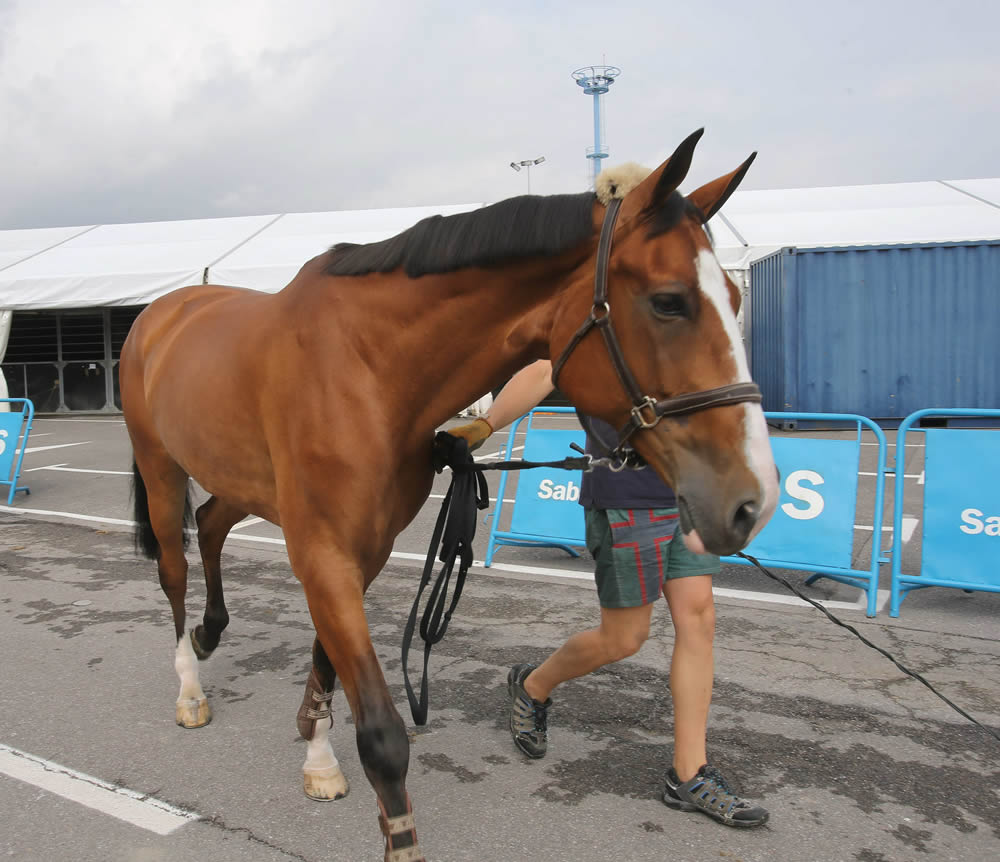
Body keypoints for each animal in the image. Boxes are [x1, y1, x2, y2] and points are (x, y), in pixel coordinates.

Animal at [121, 130, 780, 862]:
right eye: (669, 301)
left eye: (735, 299)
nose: (752, 501)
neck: (366, 368)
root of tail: (162, 311)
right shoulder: (322, 550)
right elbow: (381, 732)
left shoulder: (363, 549)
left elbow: (326, 661)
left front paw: (317, 754)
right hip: (160, 469)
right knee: (173, 567)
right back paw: (189, 684)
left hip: (240, 479)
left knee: (211, 525)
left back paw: (211, 632)